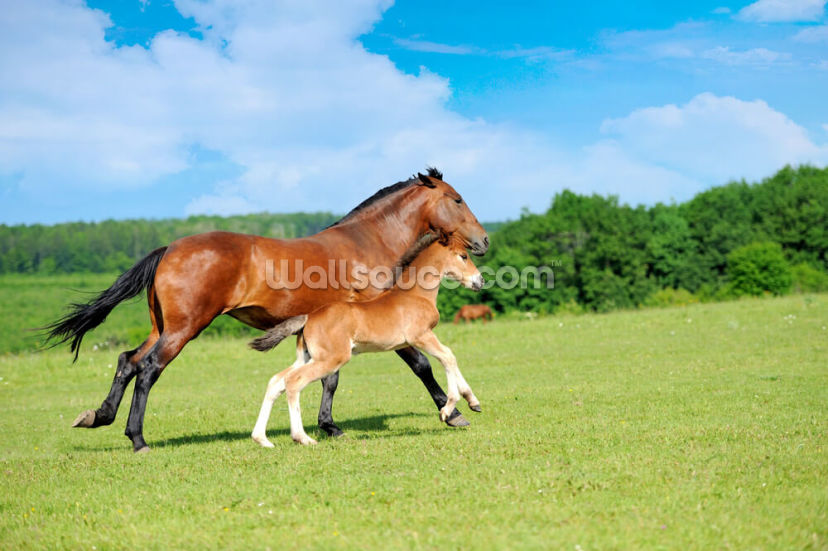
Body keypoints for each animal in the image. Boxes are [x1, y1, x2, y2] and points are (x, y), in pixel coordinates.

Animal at [248, 236, 483, 446]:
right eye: (463, 256)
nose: (479, 280)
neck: (415, 295)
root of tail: (309, 317)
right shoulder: (420, 336)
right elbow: (448, 356)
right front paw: (447, 410)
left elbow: (449, 357)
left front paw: (473, 402)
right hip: (332, 359)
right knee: (294, 382)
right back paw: (302, 438)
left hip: (308, 357)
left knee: (276, 381)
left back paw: (262, 439)